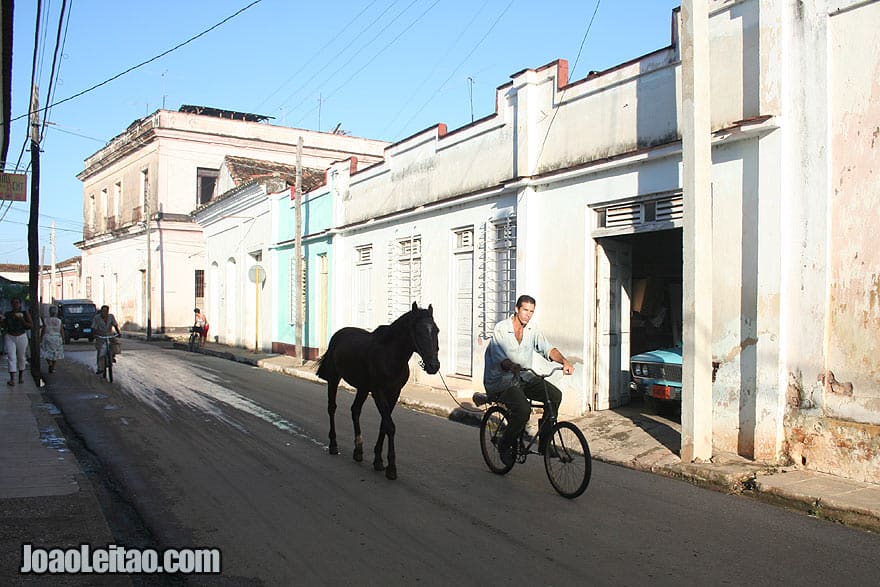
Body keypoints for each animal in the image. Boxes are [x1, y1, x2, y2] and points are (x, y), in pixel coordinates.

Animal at [316, 304, 440, 482]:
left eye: (436, 330)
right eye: (419, 331)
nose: (433, 366)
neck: (391, 355)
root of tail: (337, 336)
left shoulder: (394, 393)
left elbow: (384, 425)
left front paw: (378, 461)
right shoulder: (378, 392)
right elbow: (390, 426)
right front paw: (391, 468)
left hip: (362, 388)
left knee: (355, 410)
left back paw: (358, 450)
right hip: (334, 379)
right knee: (332, 408)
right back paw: (333, 445)